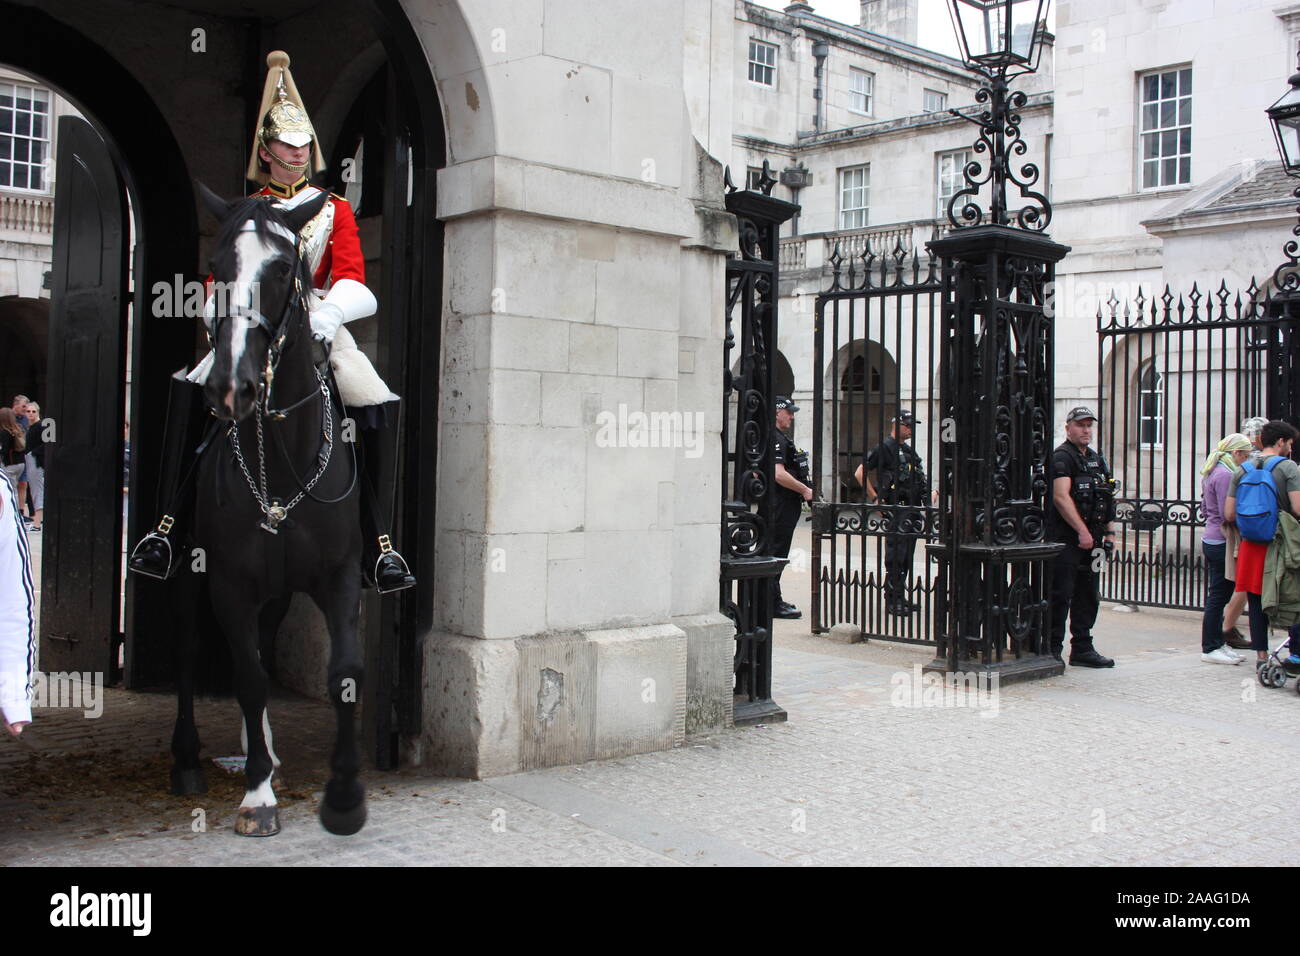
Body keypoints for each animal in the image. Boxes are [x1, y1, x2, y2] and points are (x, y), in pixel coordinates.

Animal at [166, 187, 366, 837]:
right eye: (217, 267)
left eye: (282, 269)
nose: (233, 389)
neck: (280, 461)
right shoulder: (228, 580)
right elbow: (249, 680)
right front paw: (257, 796)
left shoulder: (340, 576)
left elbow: (343, 673)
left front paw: (345, 798)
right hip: (191, 572)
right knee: (190, 649)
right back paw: (190, 761)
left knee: (260, 639)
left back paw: (270, 753)